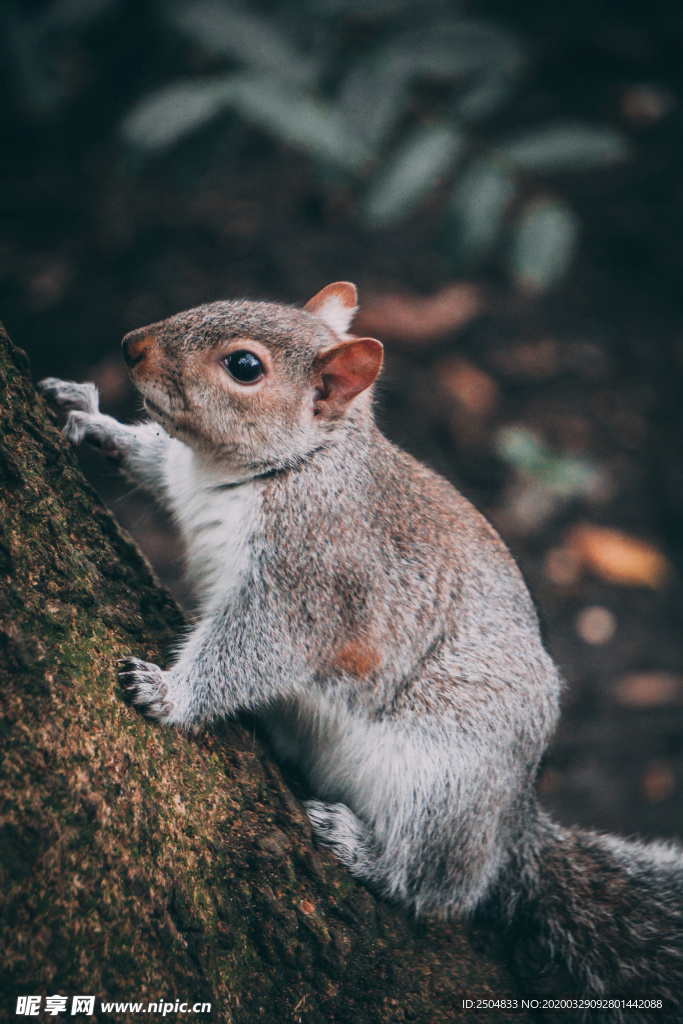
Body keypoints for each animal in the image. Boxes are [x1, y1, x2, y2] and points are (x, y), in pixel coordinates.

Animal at [38, 284, 683, 1019]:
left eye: (244, 367)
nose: (131, 347)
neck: (289, 466)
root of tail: (512, 823)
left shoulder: (307, 587)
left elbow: (255, 649)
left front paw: (170, 694)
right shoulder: (182, 473)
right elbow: (151, 457)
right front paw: (91, 417)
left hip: (439, 782)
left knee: (438, 888)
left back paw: (365, 852)